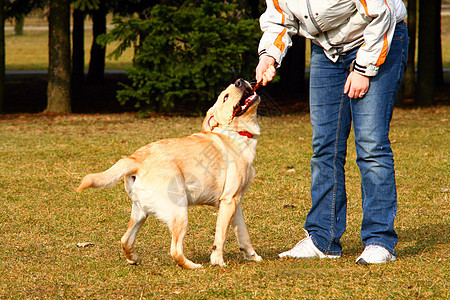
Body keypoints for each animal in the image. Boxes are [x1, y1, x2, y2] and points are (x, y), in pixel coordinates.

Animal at [76, 78, 262, 268]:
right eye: (225, 97)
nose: (239, 80)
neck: (235, 134)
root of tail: (135, 159)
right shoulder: (228, 201)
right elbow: (220, 237)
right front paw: (218, 262)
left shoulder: (235, 202)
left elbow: (244, 236)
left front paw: (252, 256)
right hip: (180, 212)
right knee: (175, 251)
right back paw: (194, 266)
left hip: (140, 213)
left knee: (125, 240)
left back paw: (134, 258)